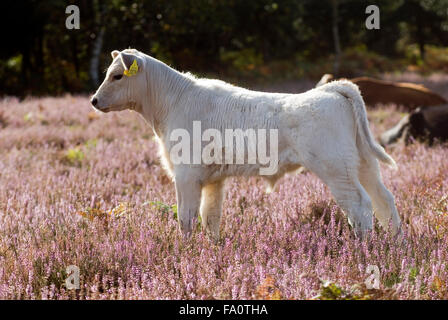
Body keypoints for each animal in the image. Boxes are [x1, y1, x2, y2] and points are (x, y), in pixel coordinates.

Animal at [92, 48, 402, 240]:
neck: (174, 101)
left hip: (337, 170)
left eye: (117, 75)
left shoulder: (186, 175)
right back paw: (394, 244)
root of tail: (333, 89)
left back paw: (364, 248)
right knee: (384, 200)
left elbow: (186, 218)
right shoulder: (213, 179)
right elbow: (210, 217)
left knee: (360, 205)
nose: (94, 100)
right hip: (363, 165)